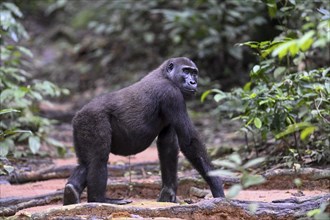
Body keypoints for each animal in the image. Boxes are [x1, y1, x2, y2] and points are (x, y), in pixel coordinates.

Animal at [63, 56, 226, 205]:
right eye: (186, 71)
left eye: (194, 73)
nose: (193, 82)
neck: (165, 74)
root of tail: (77, 116)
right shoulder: (172, 94)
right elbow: (189, 141)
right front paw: (217, 187)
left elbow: (168, 144)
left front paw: (168, 193)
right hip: (92, 119)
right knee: (99, 158)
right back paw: (99, 199)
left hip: (81, 126)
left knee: (86, 162)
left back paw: (71, 192)